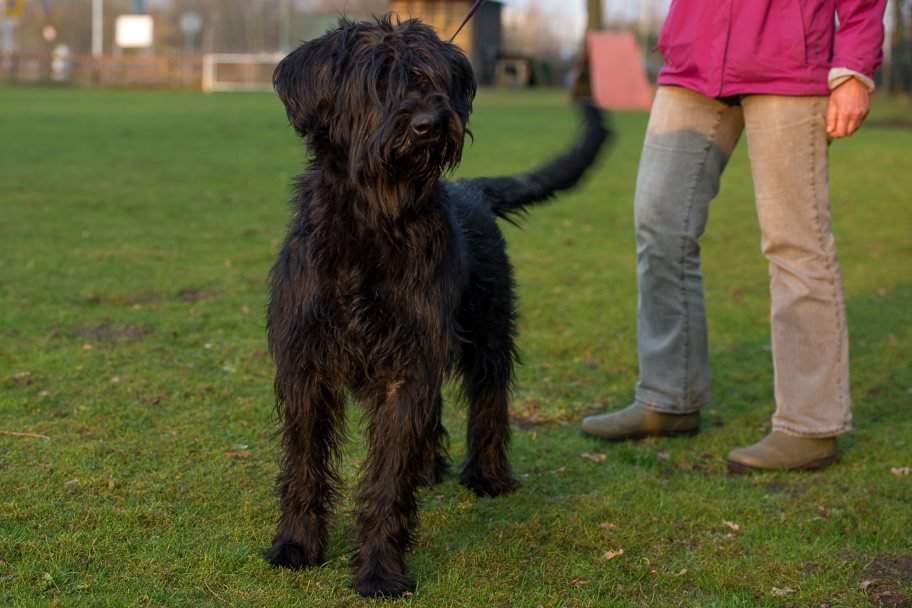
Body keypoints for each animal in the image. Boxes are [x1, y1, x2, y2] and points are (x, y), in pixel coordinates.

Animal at [262, 15, 604, 600]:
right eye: (378, 80)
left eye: (433, 79)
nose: (429, 123)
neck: (371, 223)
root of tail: (474, 190)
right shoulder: (308, 362)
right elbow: (305, 461)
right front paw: (296, 545)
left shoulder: (408, 362)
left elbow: (387, 477)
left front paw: (380, 570)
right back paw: (429, 467)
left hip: (487, 334)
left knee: (489, 402)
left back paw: (487, 475)